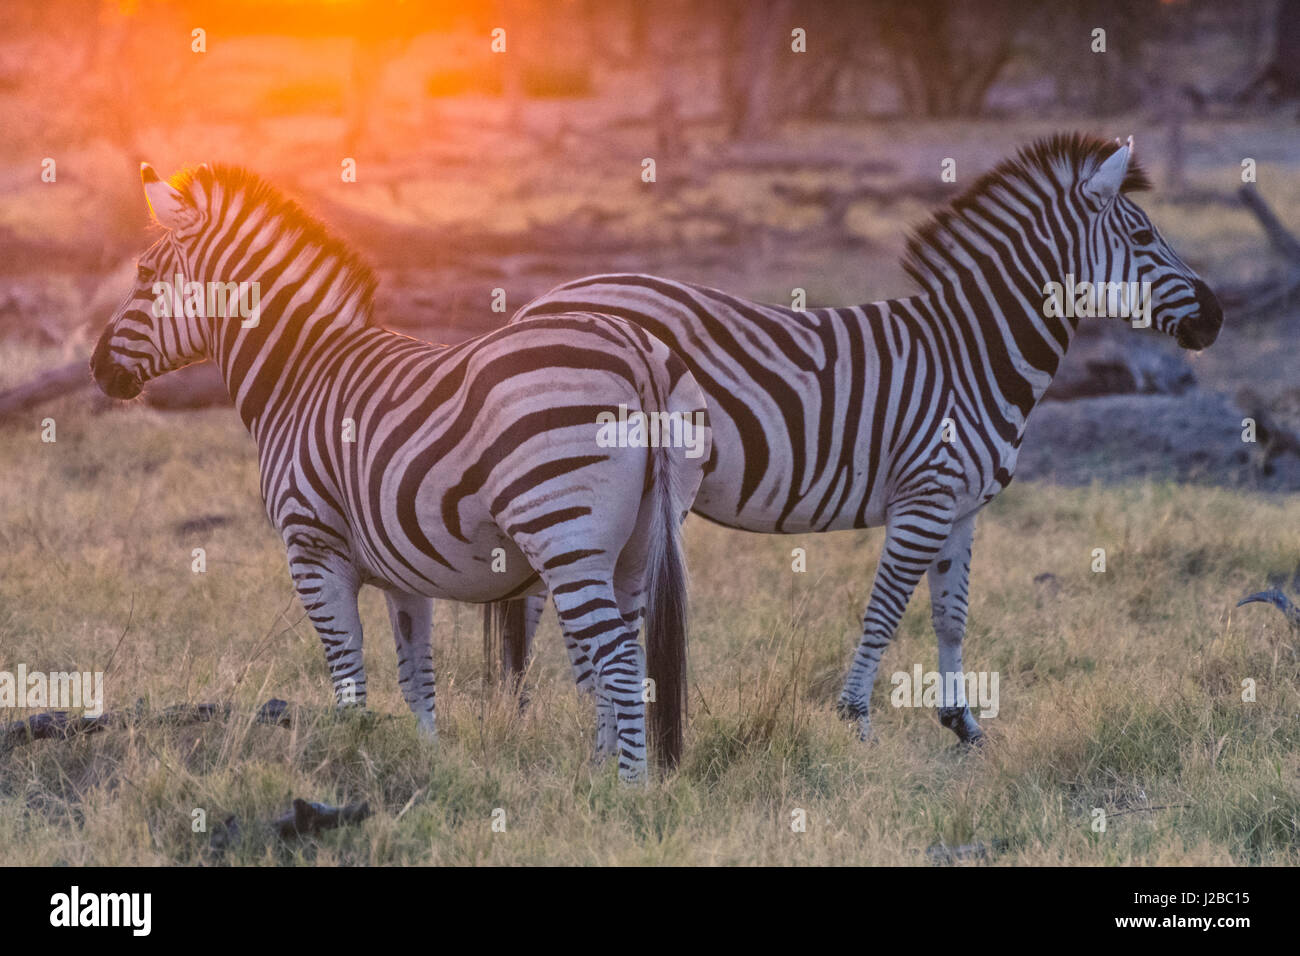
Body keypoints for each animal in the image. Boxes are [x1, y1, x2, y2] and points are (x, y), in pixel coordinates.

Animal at [89, 162, 712, 780]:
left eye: (145, 275)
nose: (96, 369)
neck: (298, 377)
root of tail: (636, 350)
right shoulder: (404, 574)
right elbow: (418, 679)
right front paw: (428, 762)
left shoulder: (312, 549)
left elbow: (348, 675)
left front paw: (347, 756)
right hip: (637, 544)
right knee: (625, 654)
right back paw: (598, 774)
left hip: (565, 533)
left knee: (619, 659)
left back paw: (628, 787)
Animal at [486, 132, 1216, 749]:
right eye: (1144, 235)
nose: (1215, 317)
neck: (972, 355)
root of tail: (537, 306)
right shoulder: (924, 499)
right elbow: (886, 612)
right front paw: (857, 720)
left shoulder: (961, 508)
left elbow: (951, 615)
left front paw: (963, 724)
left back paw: (530, 713)